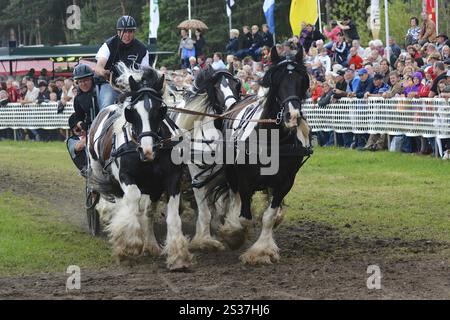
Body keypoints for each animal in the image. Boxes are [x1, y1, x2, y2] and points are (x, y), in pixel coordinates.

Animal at [89, 63, 192, 270]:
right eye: (132, 111)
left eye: (160, 109)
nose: (147, 150)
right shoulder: (125, 176)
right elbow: (133, 199)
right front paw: (129, 244)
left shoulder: (172, 179)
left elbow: (171, 215)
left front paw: (178, 255)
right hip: (98, 169)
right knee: (110, 196)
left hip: (152, 186)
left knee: (147, 210)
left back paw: (150, 244)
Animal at [173, 67, 243, 251]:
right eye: (217, 88)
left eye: (236, 85)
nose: (233, 109)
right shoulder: (196, 175)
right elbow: (205, 211)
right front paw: (204, 239)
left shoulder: (226, 174)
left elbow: (227, 204)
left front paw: (230, 230)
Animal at [212, 46, 312, 264]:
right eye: (277, 81)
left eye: (301, 81)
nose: (292, 116)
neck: (273, 138)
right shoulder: (245, 180)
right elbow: (244, 217)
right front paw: (235, 235)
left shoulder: (285, 182)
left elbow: (269, 216)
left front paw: (262, 250)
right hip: (231, 172)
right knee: (234, 197)